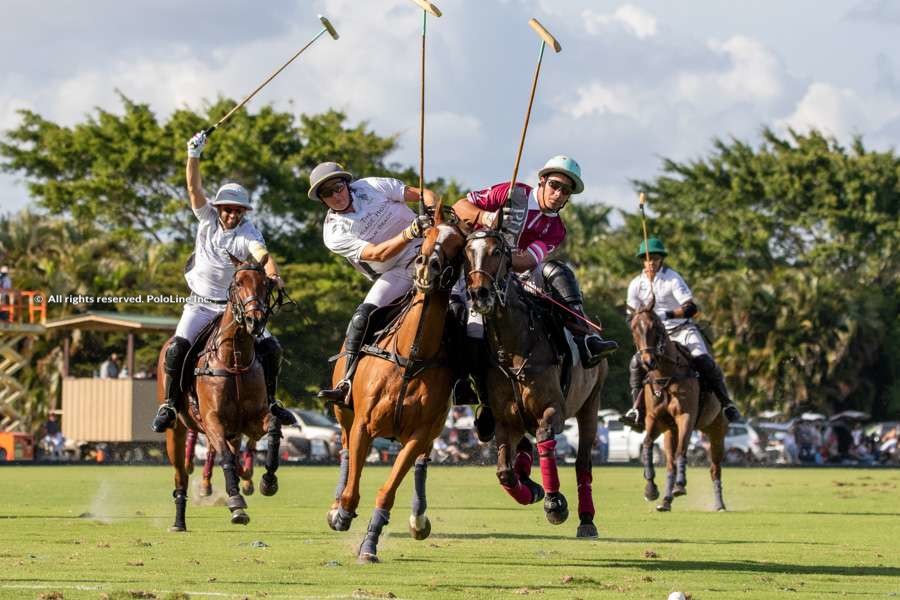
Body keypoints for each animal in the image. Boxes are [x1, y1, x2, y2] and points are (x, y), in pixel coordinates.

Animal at [160, 254, 286, 528]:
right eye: (238, 282)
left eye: (266, 284)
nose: (255, 321)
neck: (234, 360)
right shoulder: (212, 421)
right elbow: (225, 458)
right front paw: (236, 503)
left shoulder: (251, 422)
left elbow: (272, 428)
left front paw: (267, 481)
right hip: (176, 430)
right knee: (181, 474)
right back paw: (179, 521)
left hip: (232, 430)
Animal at [326, 209, 464, 564]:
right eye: (428, 235)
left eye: (460, 243)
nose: (427, 266)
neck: (411, 355)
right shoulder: (363, 423)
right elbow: (353, 486)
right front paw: (342, 512)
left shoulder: (419, 433)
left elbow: (388, 491)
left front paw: (369, 546)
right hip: (343, 412)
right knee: (344, 449)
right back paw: (335, 506)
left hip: (434, 429)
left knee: (422, 463)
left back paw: (418, 519)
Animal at [468, 230, 608, 540]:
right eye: (467, 252)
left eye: (497, 251)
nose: (479, 293)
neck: (515, 349)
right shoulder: (505, 420)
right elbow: (504, 472)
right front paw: (531, 491)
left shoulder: (553, 409)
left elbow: (546, 438)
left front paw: (554, 504)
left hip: (591, 404)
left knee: (582, 462)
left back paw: (587, 519)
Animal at [628, 298, 728, 512]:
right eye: (633, 328)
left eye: (656, 326)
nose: (648, 361)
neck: (665, 375)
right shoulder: (654, 419)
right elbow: (647, 445)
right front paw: (651, 489)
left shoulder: (685, 416)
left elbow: (682, 451)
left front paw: (680, 485)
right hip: (669, 431)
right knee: (670, 464)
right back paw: (666, 500)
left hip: (717, 430)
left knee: (715, 469)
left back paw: (719, 504)